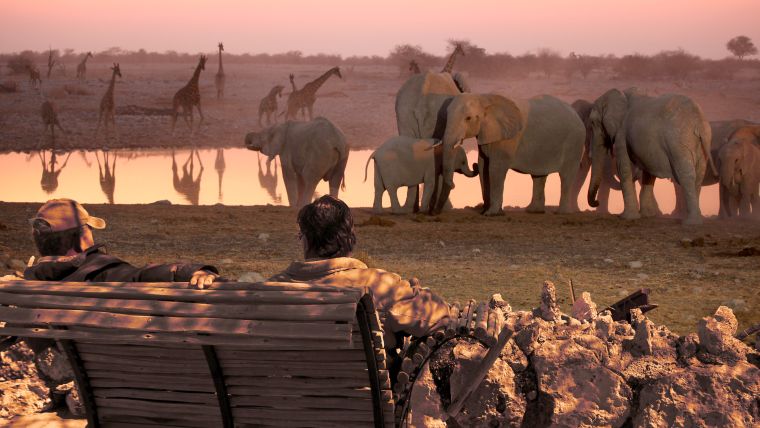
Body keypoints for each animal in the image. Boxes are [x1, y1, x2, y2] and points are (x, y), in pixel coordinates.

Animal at [430, 92, 584, 216]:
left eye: (468, 118)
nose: (433, 213)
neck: (485, 98)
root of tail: (576, 114)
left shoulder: (507, 139)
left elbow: (495, 168)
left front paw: (491, 214)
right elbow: (483, 166)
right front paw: (486, 212)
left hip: (574, 143)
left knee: (566, 176)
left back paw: (562, 213)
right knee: (539, 176)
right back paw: (534, 211)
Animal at [588, 88, 720, 226]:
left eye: (592, 123)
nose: (596, 202)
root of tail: (698, 121)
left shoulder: (621, 134)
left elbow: (623, 168)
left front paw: (626, 217)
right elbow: (648, 171)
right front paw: (646, 215)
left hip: (678, 141)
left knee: (686, 174)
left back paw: (691, 223)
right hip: (703, 143)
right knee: (698, 176)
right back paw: (695, 220)